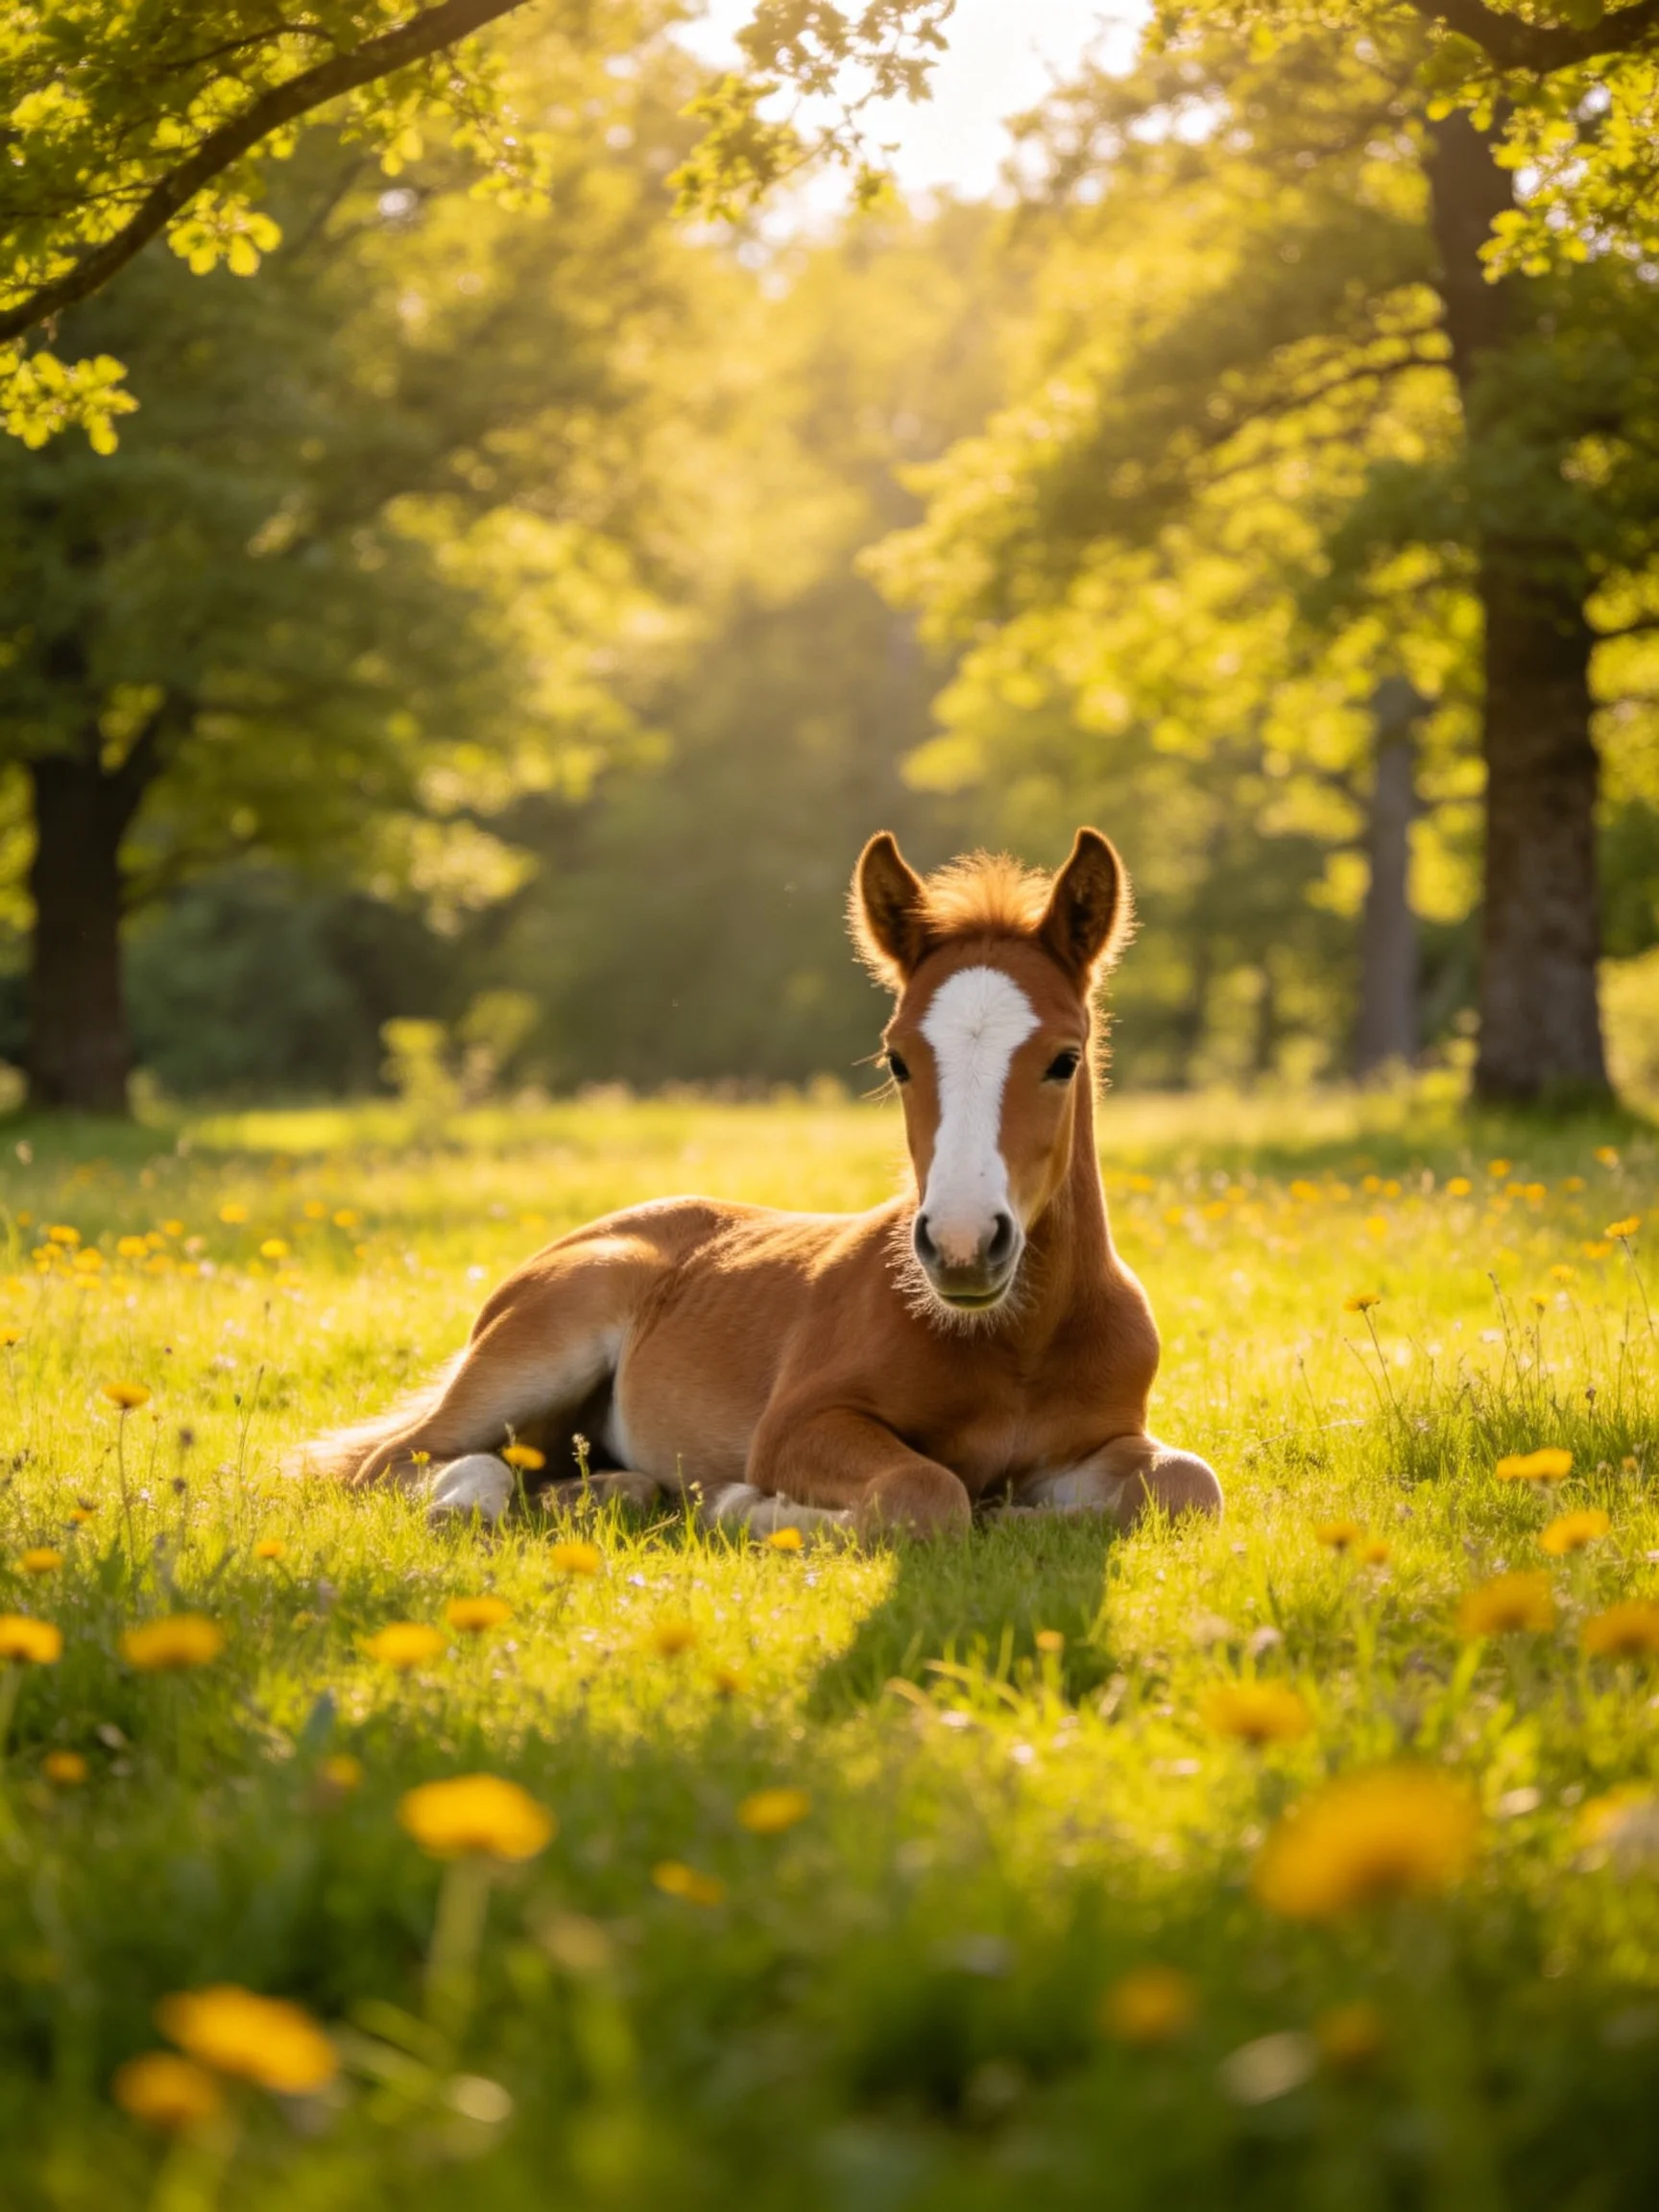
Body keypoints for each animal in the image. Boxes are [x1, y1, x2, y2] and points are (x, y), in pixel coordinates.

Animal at [298, 828, 1222, 1540]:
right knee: (403, 1462)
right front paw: (741, 1505)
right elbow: (924, 1493)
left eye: (1064, 1059)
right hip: (541, 1351)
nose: (963, 1246)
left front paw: (1022, 1514)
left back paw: (619, 1491)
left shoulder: (1104, 1438)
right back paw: (475, 1504)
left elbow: (1189, 1484)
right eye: (897, 1058)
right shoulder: (797, 1426)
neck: (1015, 1344)